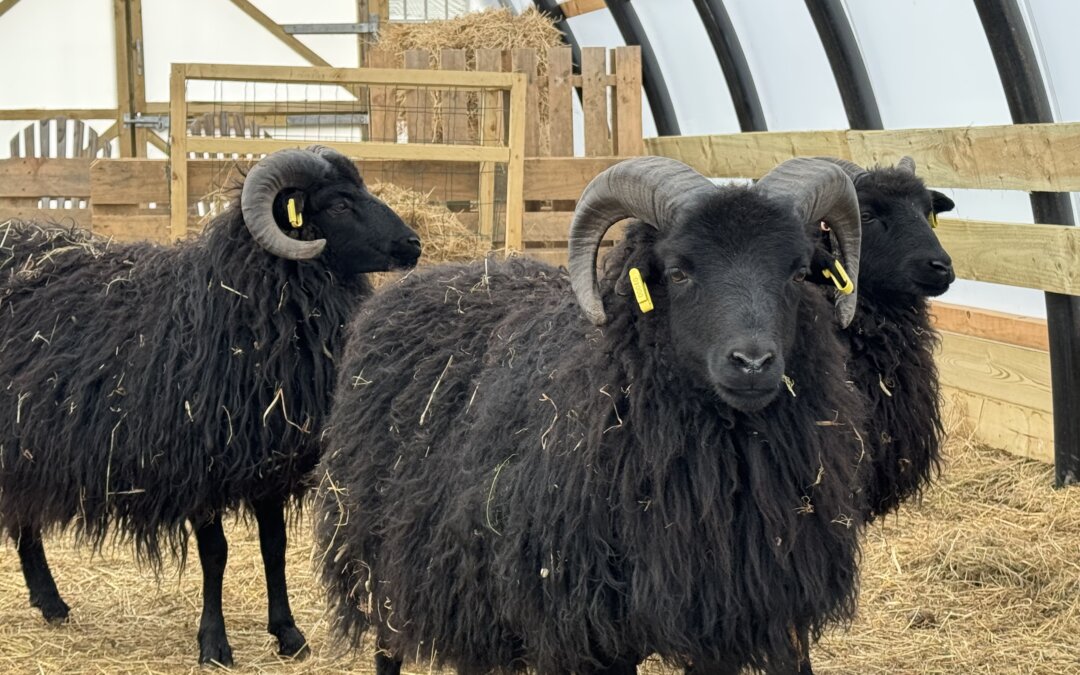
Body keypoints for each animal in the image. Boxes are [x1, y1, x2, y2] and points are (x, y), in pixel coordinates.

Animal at [0, 145, 421, 666]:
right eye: (340, 204)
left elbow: (274, 546)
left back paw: (50, 602)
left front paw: (288, 634)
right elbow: (215, 553)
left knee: (23, 516)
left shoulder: (268, 461)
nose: (413, 244)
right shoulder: (199, 466)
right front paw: (215, 644)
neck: (241, 303)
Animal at [314, 156, 870, 675]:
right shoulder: (589, 626)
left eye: (798, 272)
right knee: (388, 643)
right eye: (678, 271)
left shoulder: (726, 615)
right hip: (379, 548)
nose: (752, 362)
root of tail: (435, 275)